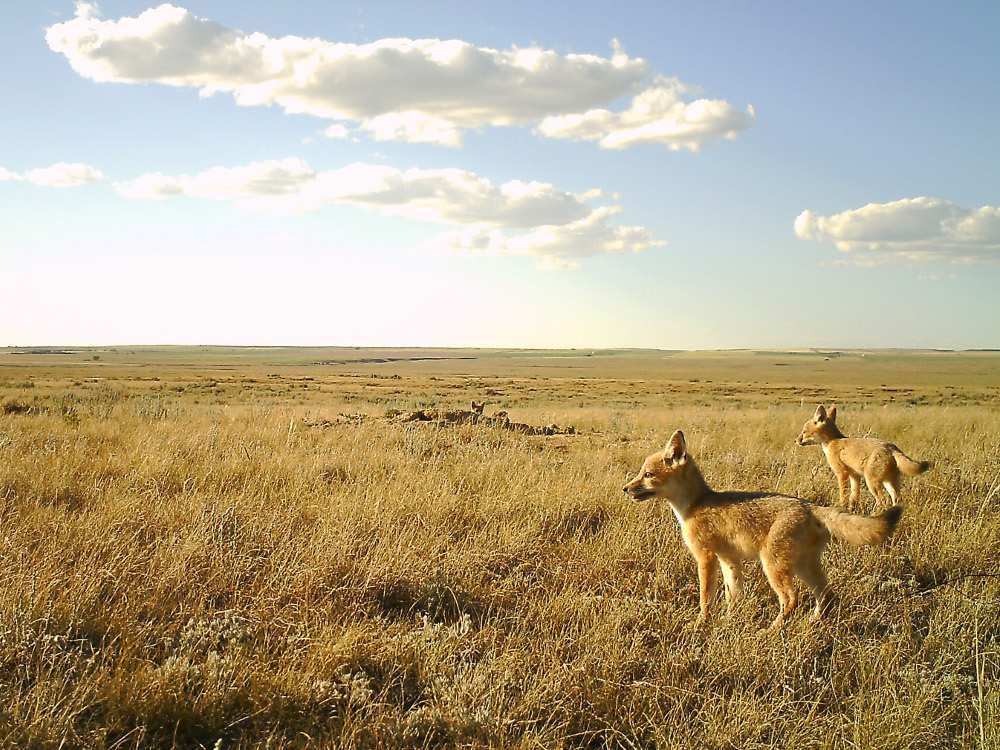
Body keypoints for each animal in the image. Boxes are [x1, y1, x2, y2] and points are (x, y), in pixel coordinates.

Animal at [620, 432, 904, 632]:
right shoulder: (729, 560)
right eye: (641, 473)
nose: (625, 488)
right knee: (826, 595)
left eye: (648, 475)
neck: (694, 504)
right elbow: (733, 595)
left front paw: (701, 623)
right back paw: (813, 623)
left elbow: (705, 598)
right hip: (803, 567)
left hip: (773, 566)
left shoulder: (705, 558)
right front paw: (730, 620)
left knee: (791, 599)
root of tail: (809, 506)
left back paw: (771, 630)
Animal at [796, 406, 928, 512]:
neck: (832, 441)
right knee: (896, 499)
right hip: (889, 483)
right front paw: (851, 509)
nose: (796, 441)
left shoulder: (841, 473)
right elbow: (854, 496)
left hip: (872, 483)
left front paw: (841, 507)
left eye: (804, 432)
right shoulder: (855, 476)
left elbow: (843, 495)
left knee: (883, 501)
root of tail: (892, 448)